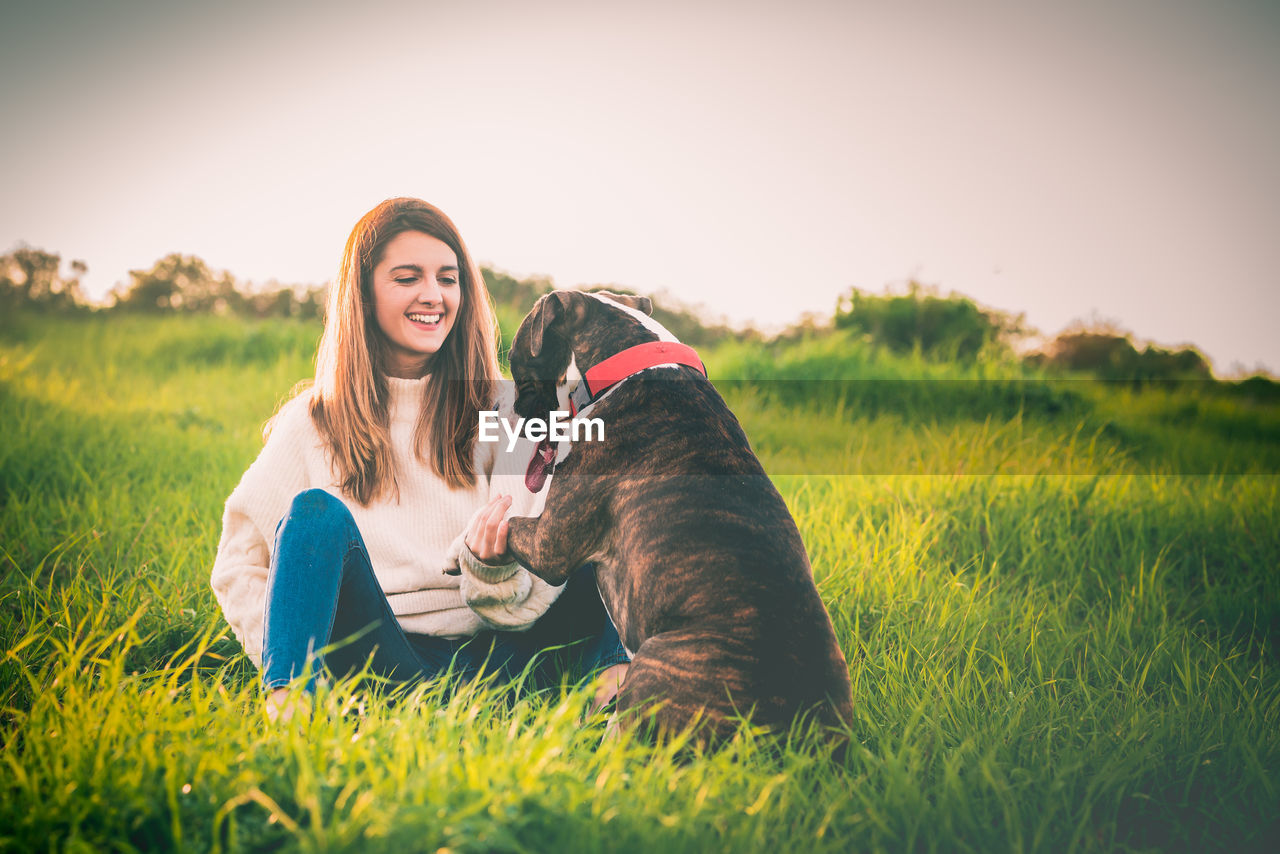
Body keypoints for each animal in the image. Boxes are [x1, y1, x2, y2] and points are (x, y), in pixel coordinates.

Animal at [504, 290, 855, 742]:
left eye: (514, 358)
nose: (513, 409)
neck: (623, 367)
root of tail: (800, 733)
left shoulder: (550, 544)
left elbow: (506, 525)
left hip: (656, 660)